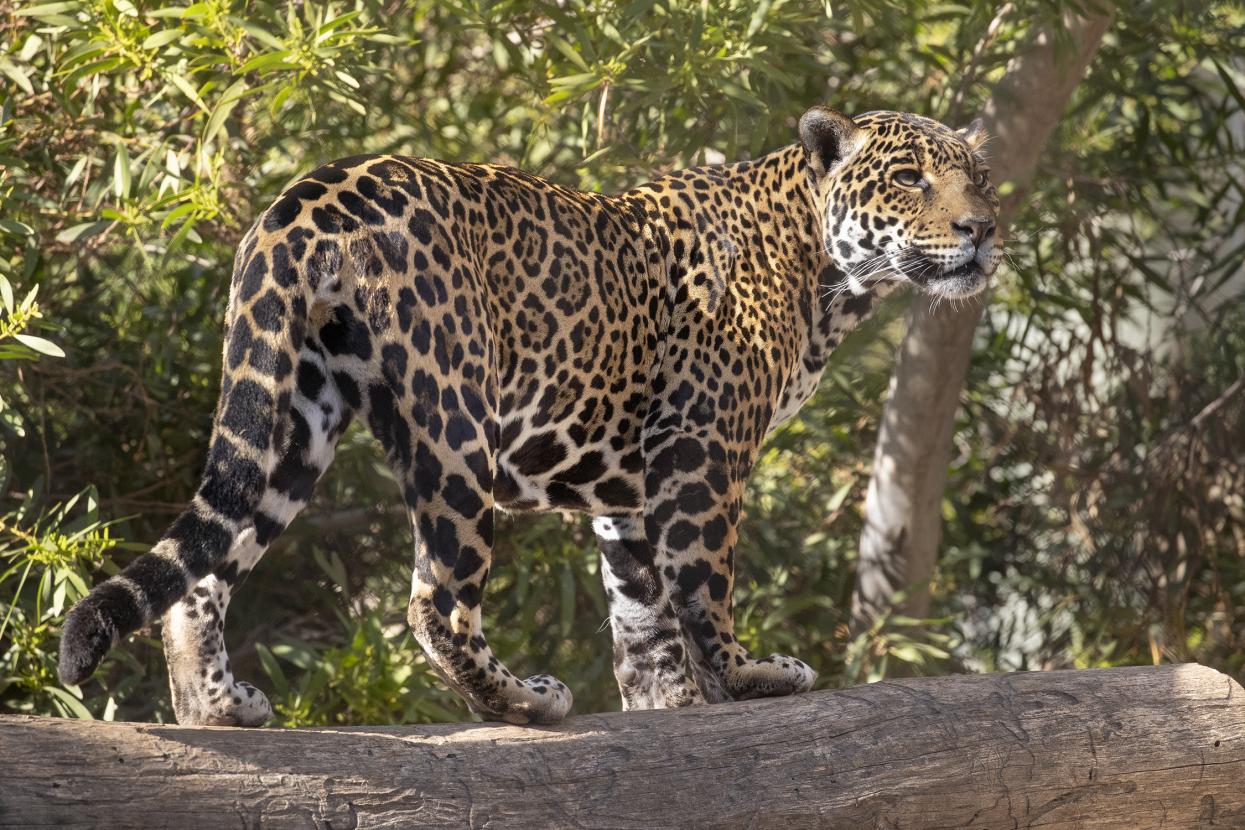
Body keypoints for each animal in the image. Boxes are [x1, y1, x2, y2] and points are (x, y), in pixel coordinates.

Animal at [58, 107, 1002, 726]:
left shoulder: (631, 488)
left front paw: (664, 703)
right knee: (435, 601)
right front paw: (747, 678)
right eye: (909, 179)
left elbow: (641, 614)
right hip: (455, 422)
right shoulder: (703, 449)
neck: (828, 278)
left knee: (205, 567)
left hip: (290, 409)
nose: (982, 228)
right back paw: (522, 698)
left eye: (980, 178)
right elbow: (701, 584)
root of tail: (306, 198)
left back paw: (214, 706)